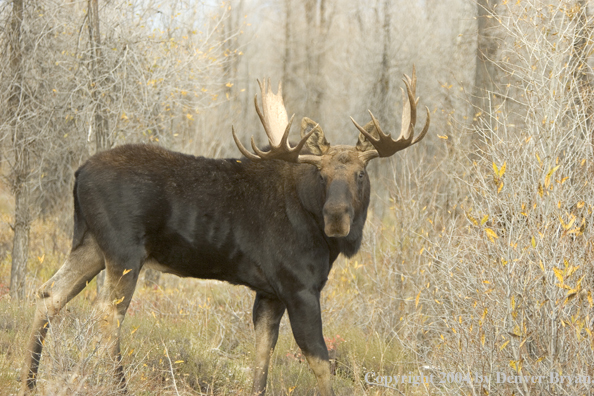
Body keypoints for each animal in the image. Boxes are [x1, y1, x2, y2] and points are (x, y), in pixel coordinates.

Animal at [18, 68, 426, 396]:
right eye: (322, 174)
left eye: (361, 174)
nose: (337, 216)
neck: (321, 236)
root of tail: (78, 174)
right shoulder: (299, 288)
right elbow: (322, 363)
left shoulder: (269, 293)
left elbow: (262, 359)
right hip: (123, 252)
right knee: (106, 314)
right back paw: (118, 386)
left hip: (89, 244)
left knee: (49, 294)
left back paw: (29, 382)